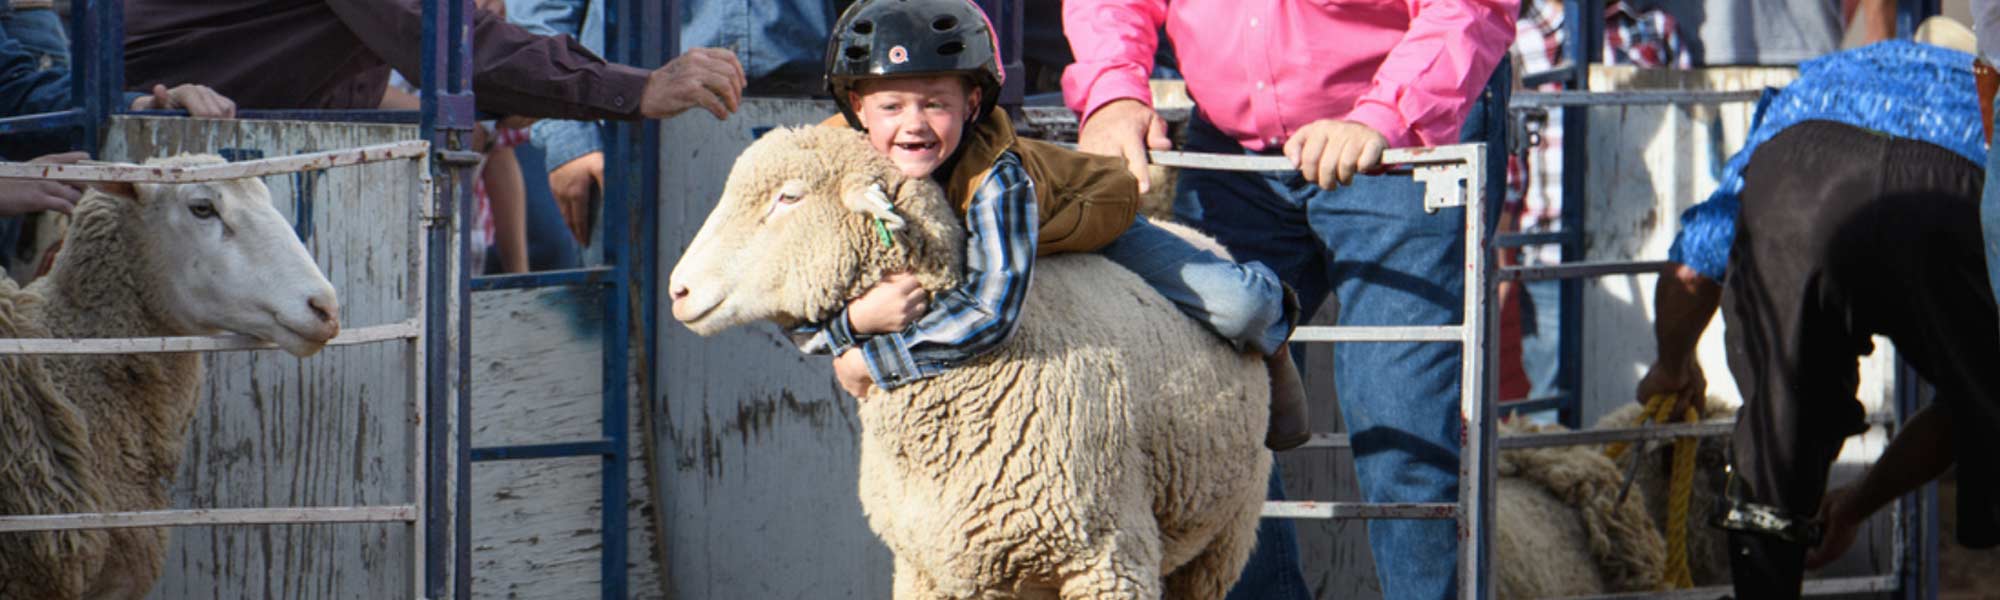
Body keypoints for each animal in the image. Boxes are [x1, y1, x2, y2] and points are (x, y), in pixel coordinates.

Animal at [668, 124, 1264, 596]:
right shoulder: (934, 568)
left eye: (788, 198)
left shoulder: (1110, 557)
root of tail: (1197, 234)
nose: (678, 290)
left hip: (1220, 541)